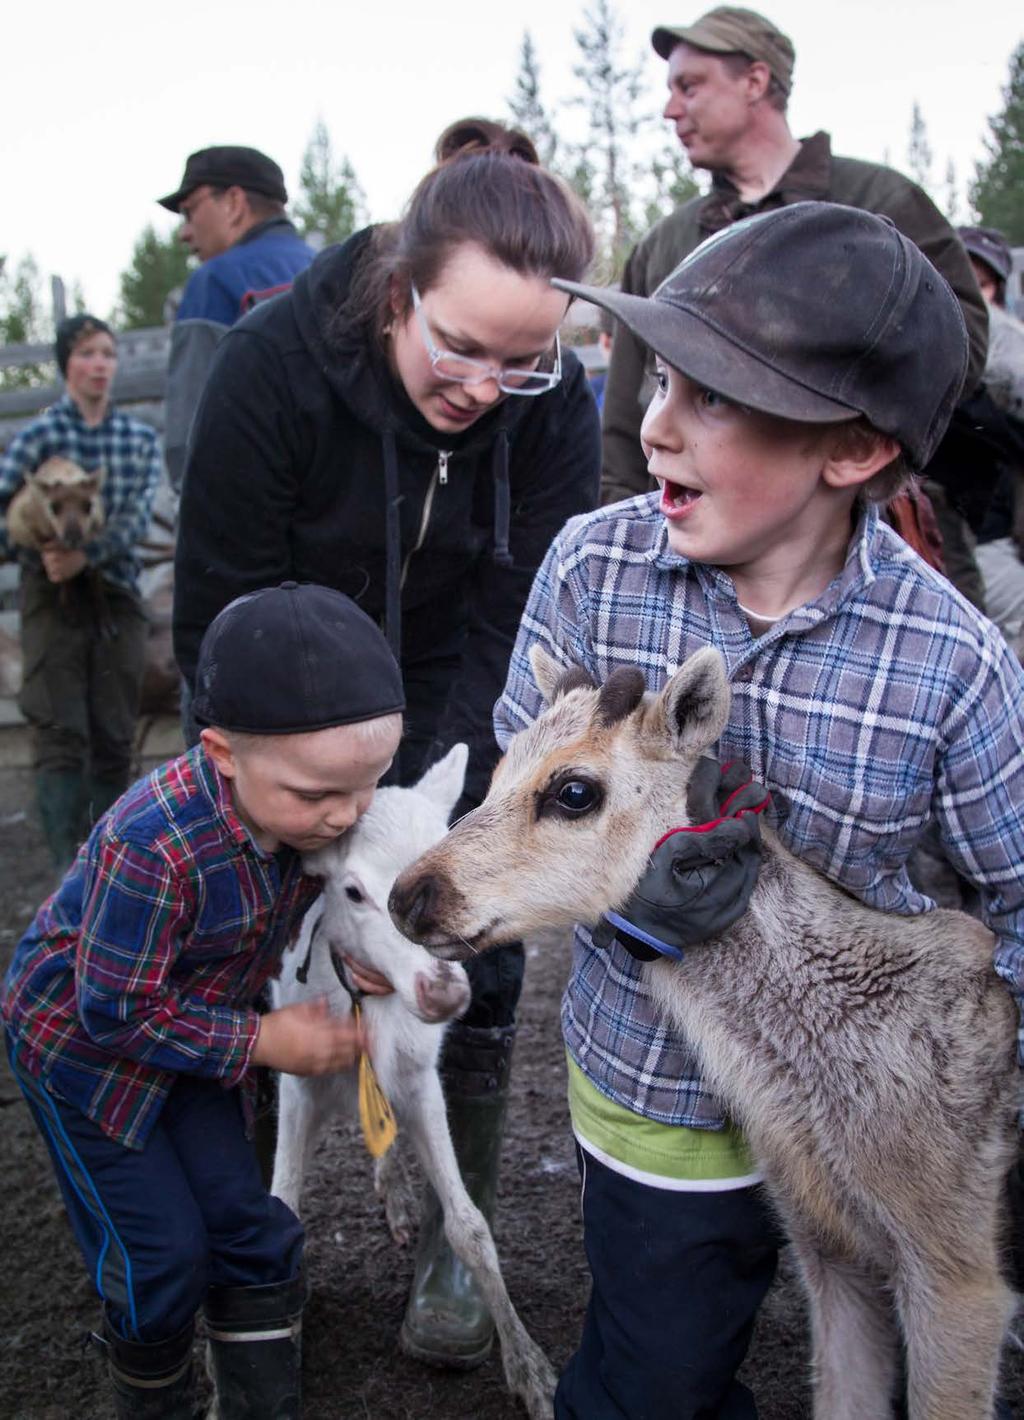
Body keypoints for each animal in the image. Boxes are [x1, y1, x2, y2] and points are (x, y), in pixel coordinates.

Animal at [271, 744, 553, 1420]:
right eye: (353, 891)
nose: (443, 992)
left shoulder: (422, 1075)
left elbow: (469, 1225)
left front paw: (530, 1370)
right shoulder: (296, 1081)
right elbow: (282, 1205)